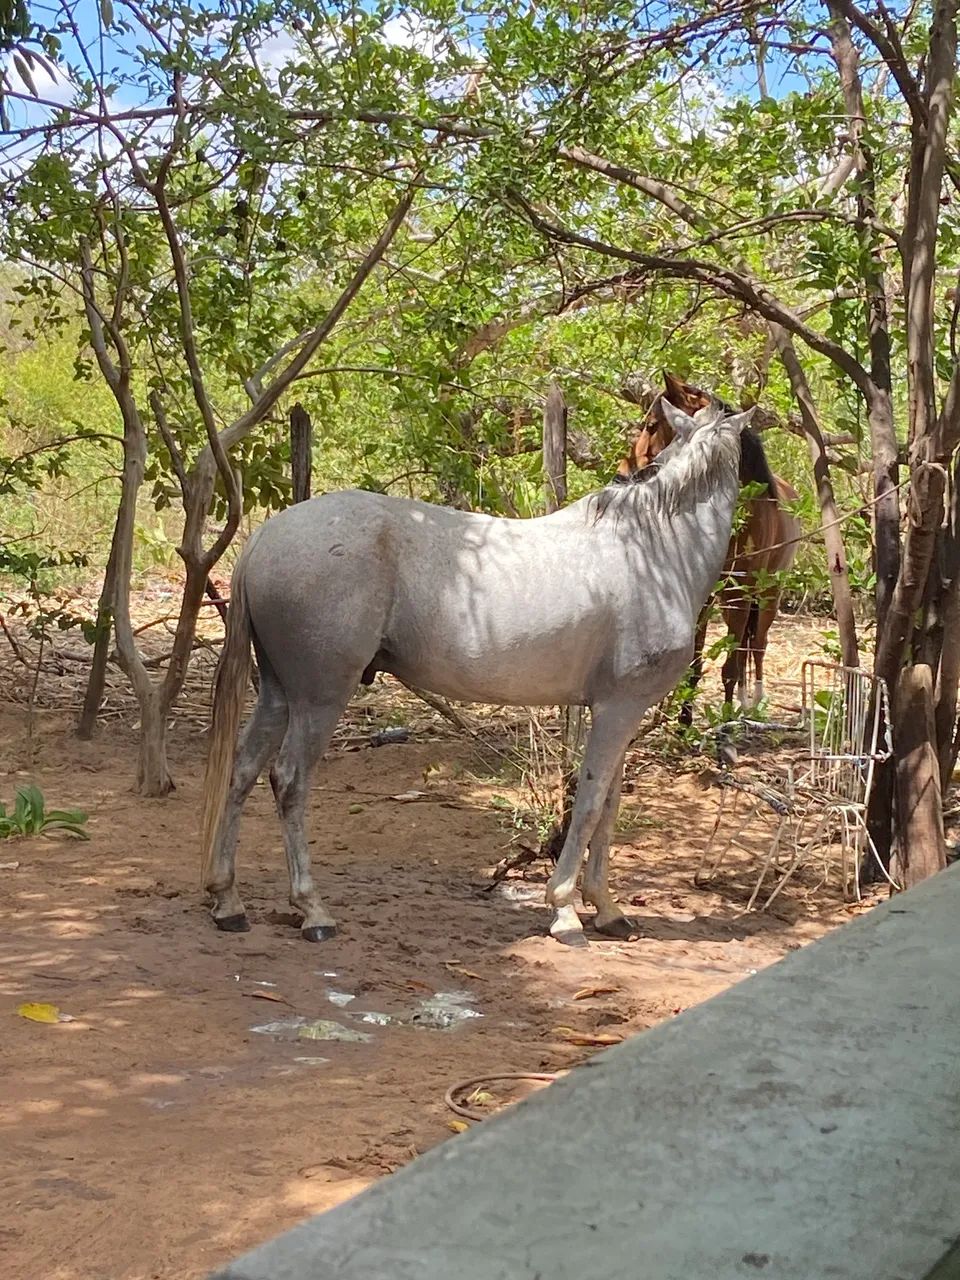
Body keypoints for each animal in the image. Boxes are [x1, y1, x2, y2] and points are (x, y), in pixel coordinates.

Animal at [200, 398, 759, 949]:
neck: (654, 552)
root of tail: (266, 536)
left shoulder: (621, 710)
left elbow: (609, 804)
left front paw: (607, 908)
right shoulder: (617, 710)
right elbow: (590, 802)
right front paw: (564, 911)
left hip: (279, 692)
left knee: (243, 769)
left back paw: (228, 901)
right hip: (319, 698)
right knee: (289, 779)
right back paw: (312, 910)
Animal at [617, 372, 801, 722]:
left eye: (652, 425)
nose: (621, 475)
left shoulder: (740, 593)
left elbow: (730, 665)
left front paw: (725, 723)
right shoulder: (704, 597)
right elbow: (696, 662)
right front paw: (684, 721)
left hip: (767, 595)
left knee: (756, 645)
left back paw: (754, 703)